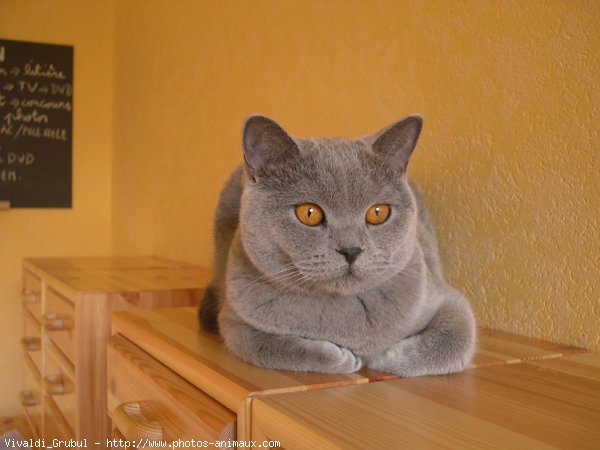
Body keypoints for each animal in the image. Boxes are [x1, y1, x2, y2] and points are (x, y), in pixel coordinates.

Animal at [199, 115, 476, 376]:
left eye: (378, 212)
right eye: (309, 213)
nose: (351, 250)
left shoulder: (449, 301)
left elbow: (455, 339)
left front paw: (386, 357)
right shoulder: (235, 323)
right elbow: (271, 347)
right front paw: (344, 358)